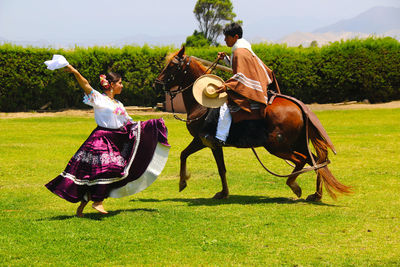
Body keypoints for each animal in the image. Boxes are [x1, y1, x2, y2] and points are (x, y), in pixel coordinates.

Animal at [154, 47, 350, 202]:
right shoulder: (208, 143)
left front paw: (184, 182)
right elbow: (195, 159)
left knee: (303, 160)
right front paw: (219, 192)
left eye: (172, 65)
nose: (157, 84)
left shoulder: (206, 141)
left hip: (276, 145)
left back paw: (294, 186)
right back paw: (316, 195)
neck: (201, 104)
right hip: (298, 142)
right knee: (318, 162)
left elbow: (203, 162)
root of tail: (299, 107)